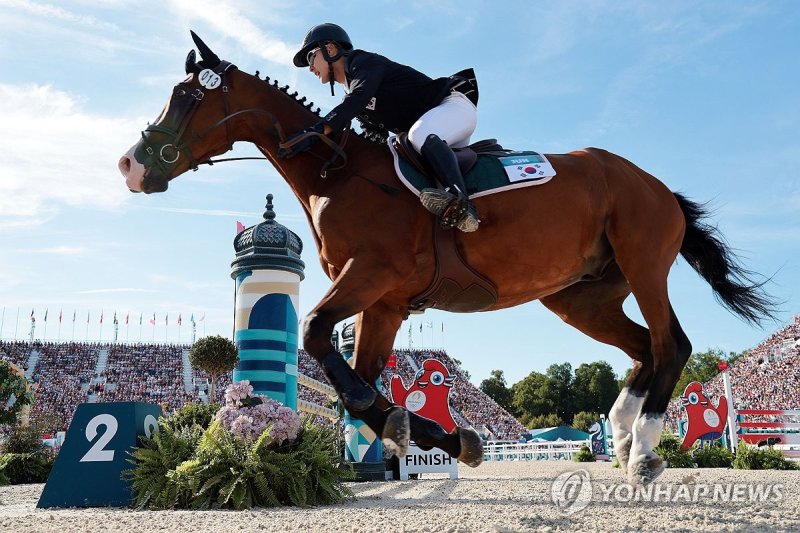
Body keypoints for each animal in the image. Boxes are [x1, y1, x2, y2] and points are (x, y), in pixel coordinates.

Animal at [115, 31, 772, 484]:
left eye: (184, 96)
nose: (130, 165)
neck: (337, 172)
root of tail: (657, 185)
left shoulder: (371, 275)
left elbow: (319, 334)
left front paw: (411, 429)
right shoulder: (383, 303)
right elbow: (356, 375)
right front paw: (426, 434)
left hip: (642, 263)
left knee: (672, 345)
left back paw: (645, 449)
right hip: (579, 298)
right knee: (642, 349)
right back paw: (624, 434)